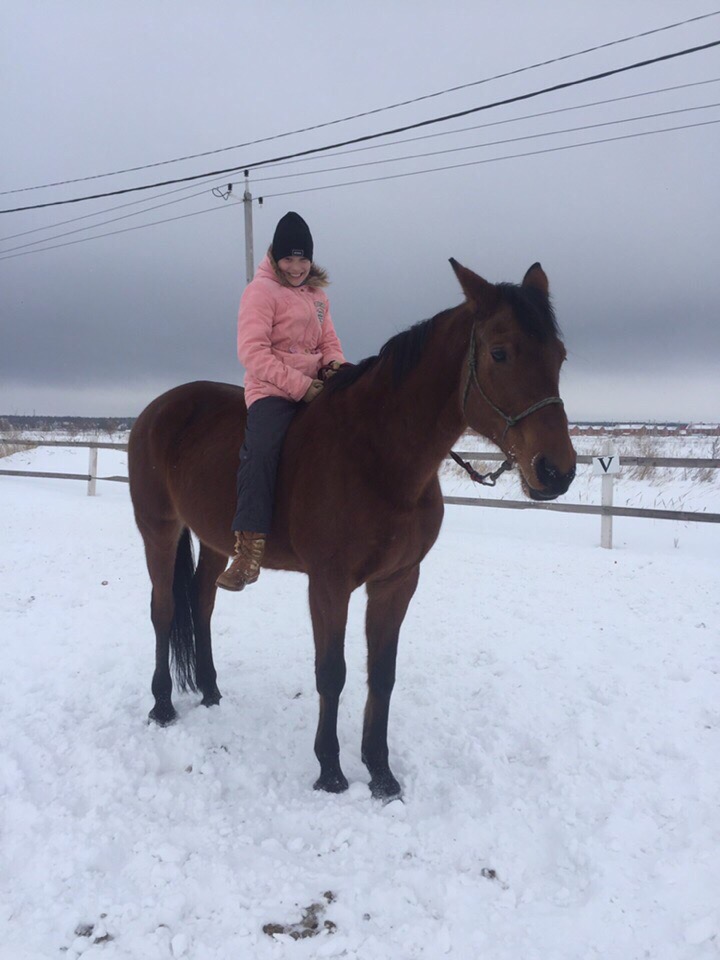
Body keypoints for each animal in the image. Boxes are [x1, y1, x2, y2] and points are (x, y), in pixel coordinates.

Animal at [128, 259, 576, 800]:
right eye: (500, 352)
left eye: (559, 355)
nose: (556, 471)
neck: (378, 455)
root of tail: (156, 410)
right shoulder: (329, 584)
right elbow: (332, 673)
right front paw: (330, 770)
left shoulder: (397, 582)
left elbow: (381, 674)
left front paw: (380, 773)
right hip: (159, 529)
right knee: (165, 609)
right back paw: (162, 705)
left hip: (215, 540)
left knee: (202, 601)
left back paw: (211, 690)